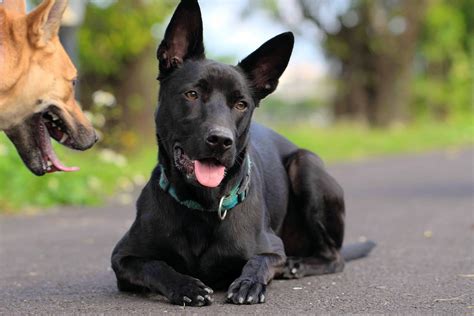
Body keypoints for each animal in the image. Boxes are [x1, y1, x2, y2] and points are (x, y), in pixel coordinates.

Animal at [111, 0, 374, 306]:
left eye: (240, 104)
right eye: (191, 94)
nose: (220, 140)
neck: (203, 205)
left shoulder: (273, 250)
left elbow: (258, 261)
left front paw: (249, 283)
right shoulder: (122, 258)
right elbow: (156, 266)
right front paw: (186, 285)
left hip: (306, 166)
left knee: (334, 257)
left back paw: (298, 264)